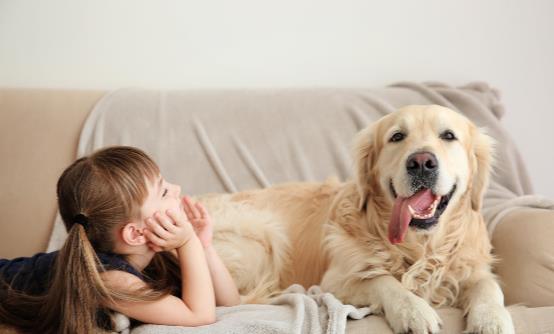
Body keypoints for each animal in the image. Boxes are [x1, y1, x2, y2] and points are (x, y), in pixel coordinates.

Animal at [198, 105, 512, 334]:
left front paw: (492, 320)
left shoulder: (472, 269)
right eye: (397, 137)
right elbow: (384, 280)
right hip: (260, 241)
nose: (422, 162)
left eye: (448, 136)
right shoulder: (334, 281)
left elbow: (490, 287)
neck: (419, 245)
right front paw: (413, 311)